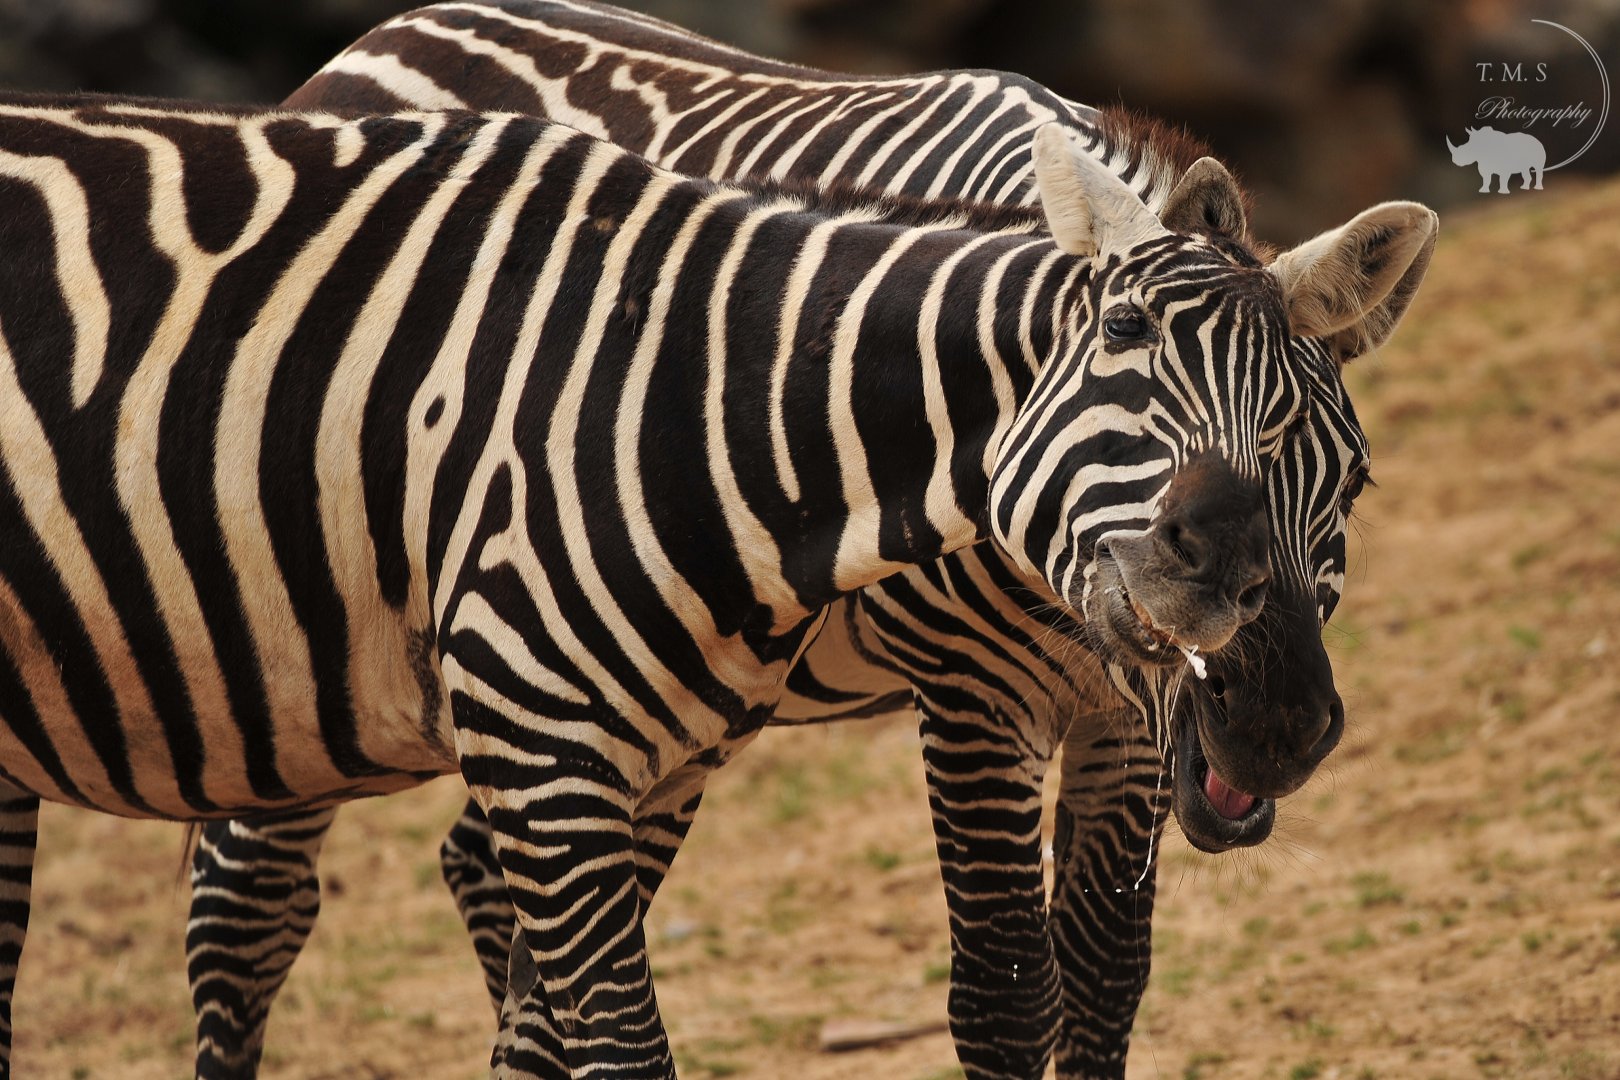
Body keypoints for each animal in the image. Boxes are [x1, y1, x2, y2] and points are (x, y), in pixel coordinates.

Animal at [0, 89, 1407, 1079]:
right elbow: (995, 996)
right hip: (274, 674)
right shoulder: (930, 701)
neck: (707, 396)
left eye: (1347, 480)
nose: (1277, 720)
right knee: (246, 911)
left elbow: (1104, 982)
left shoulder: (643, 758)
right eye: (1120, 337)